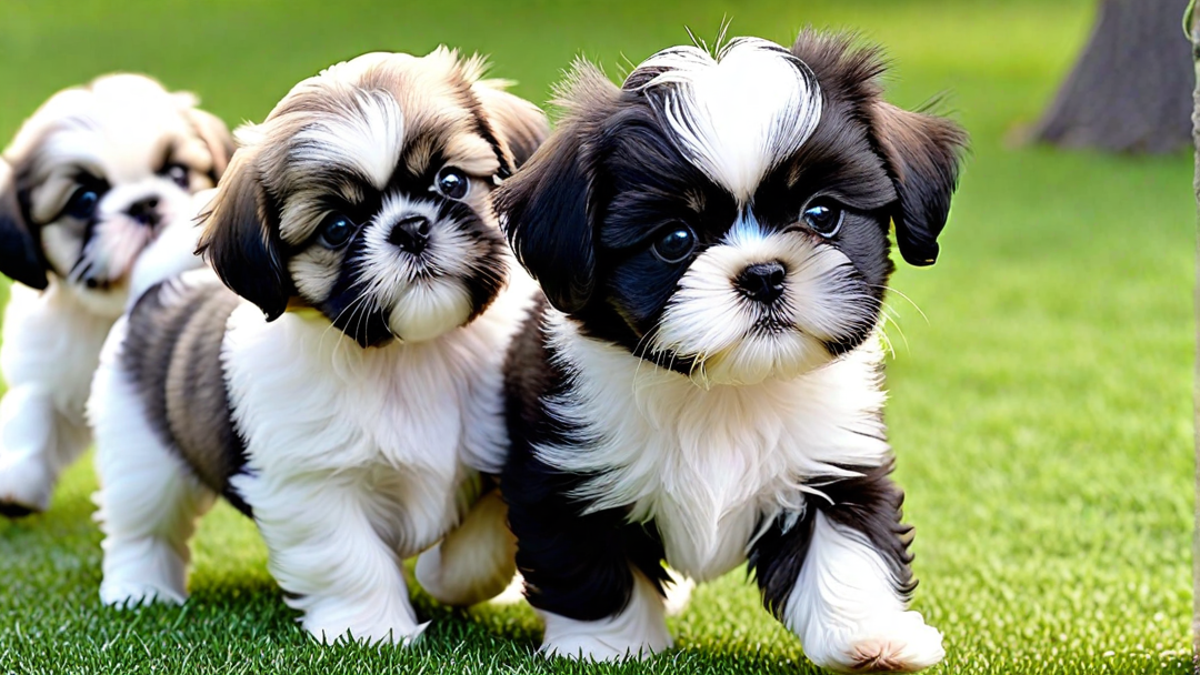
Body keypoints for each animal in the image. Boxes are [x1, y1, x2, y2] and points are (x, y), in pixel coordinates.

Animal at [0, 73, 231, 511]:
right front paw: (16, 478)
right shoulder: (51, 359)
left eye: (178, 174)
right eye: (85, 200)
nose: (144, 204)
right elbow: (34, 405)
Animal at [88, 51, 549, 638]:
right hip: (141, 454)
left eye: (450, 182)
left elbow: (480, 548)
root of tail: (160, 288)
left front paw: (446, 578)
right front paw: (374, 632)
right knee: (142, 527)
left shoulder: (498, 456)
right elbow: (351, 558)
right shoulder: (314, 487)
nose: (411, 227)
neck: (410, 355)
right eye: (338, 227)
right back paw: (140, 591)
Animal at [492, 30, 969, 667]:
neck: (728, 389)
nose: (763, 273)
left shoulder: (835, 456)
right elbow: (590, 563)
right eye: (675, 239)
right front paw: (606, 647)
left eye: (822, 214)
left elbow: (846, 546)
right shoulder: (566, 464)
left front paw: (871, 637)